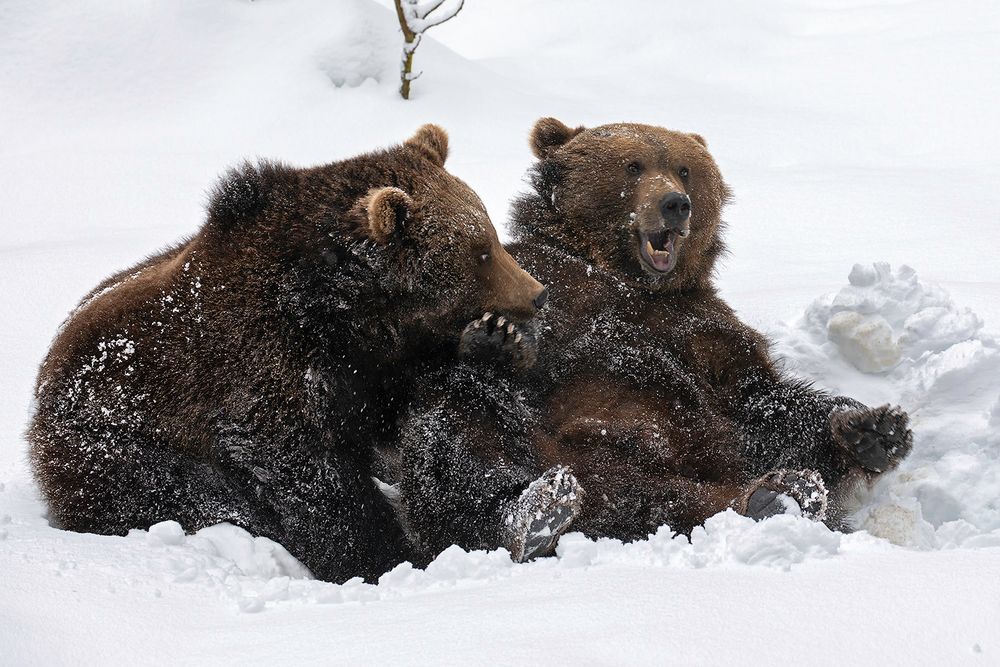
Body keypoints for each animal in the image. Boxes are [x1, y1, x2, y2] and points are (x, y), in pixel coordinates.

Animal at [27, 125, 548, 584]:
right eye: (481, 251)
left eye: (490, 234)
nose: (538, 293)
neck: (339, 313)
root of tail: (42, 379)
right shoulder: (263, 365)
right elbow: (309, 476)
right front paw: (386, 557)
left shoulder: (369, 368)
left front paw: (495, 341)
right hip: (112, 442)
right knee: (196, 495)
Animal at [394, 117, 912, 560]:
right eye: (632, 164)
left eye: (684, 169)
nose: (675, 203)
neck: (623, 276)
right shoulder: (544, 282)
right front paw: (495, 338)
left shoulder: (701, 329)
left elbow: (760, 400)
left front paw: (873, 428)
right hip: (548, 448)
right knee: (463, 424)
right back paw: (531, 513)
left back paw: (786, 493)